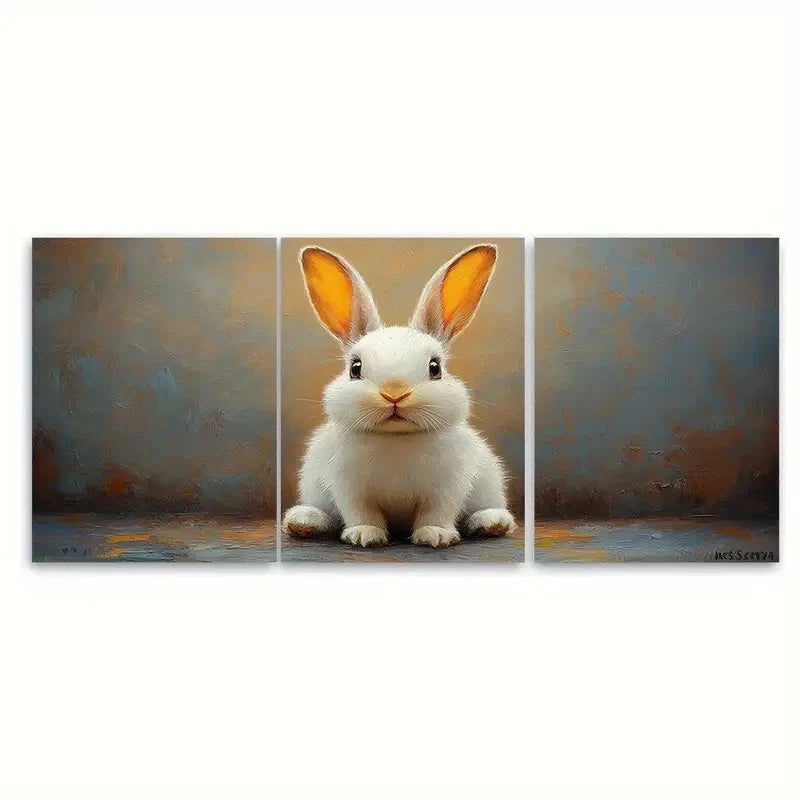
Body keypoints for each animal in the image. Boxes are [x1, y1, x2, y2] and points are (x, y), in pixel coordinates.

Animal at [282, 243, 516, 548]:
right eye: (355, 368)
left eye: (435, 368)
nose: (394, 393)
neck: (396, 437)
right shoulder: (348, 486)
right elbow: (360, 511)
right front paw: (365, 535)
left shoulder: (449, 486)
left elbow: (437, 511)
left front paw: (435, 535)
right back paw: (304, 521)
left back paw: (491, 522)